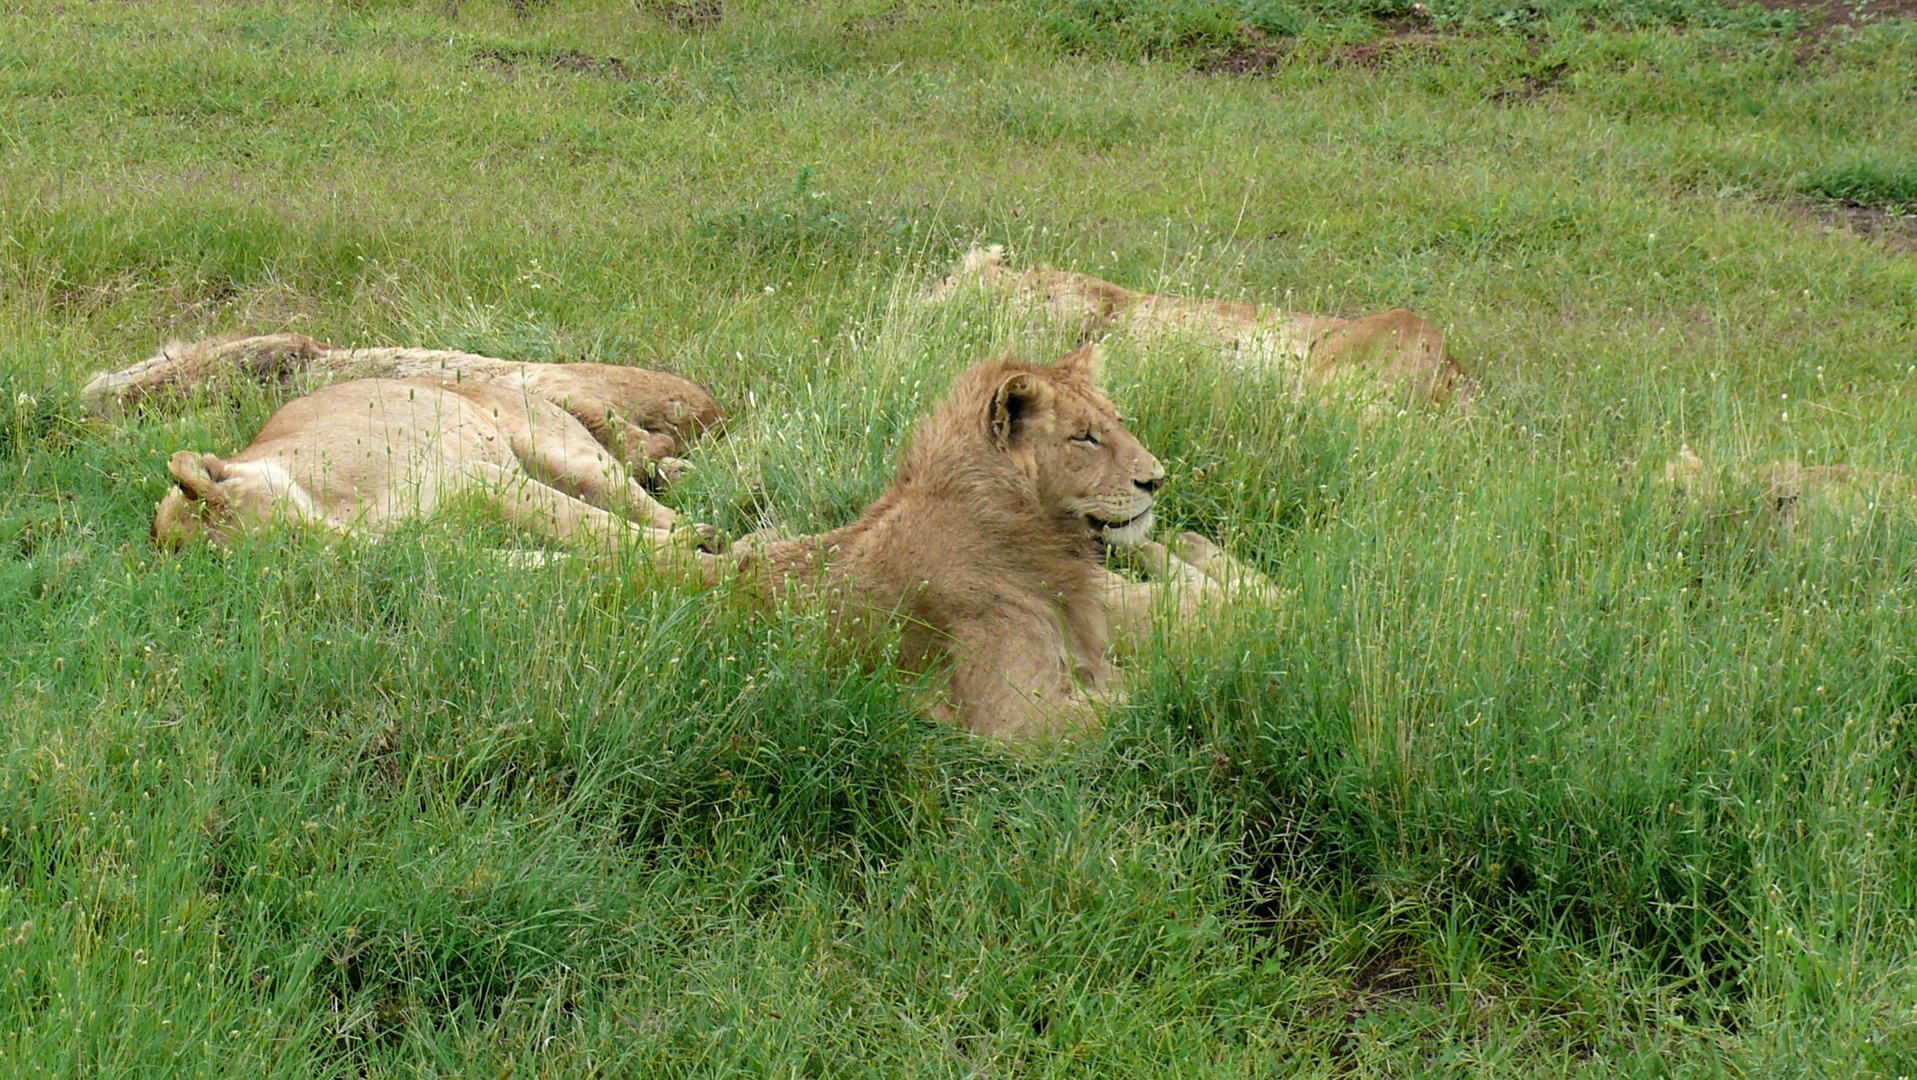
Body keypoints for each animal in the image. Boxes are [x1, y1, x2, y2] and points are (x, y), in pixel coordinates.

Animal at [155, 375, 697, 552]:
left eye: (288, 538)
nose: (351, 555)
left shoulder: (472, 477)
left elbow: (581, 523)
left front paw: (680, 546)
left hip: (561, 452)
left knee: (636, 496)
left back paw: (693, 526)